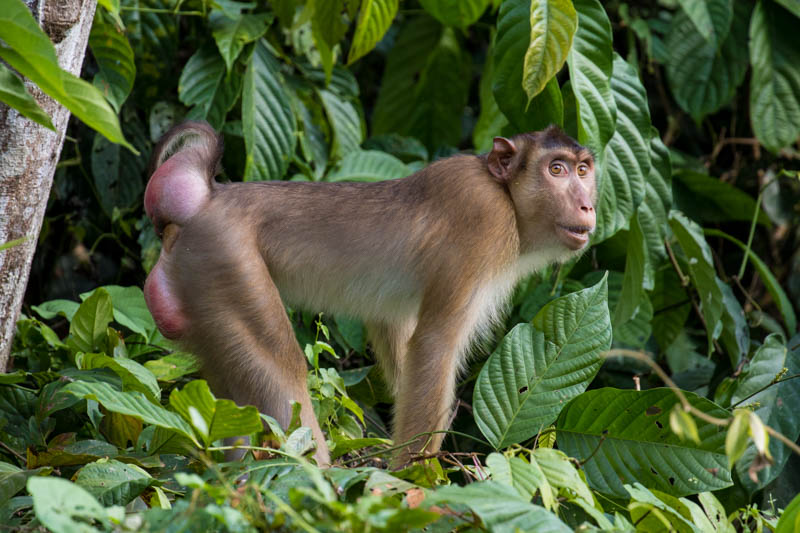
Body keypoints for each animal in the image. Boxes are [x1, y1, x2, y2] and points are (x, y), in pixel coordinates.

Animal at [142, 121, 592, 466]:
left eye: (584, 170)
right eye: (556, 169)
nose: (588, 206)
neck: (506, 197)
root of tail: (205, 200)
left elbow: (400, 342)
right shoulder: (481, 217)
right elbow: (434, 346)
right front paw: (412, 480)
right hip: (226, 259)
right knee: (282, 370)